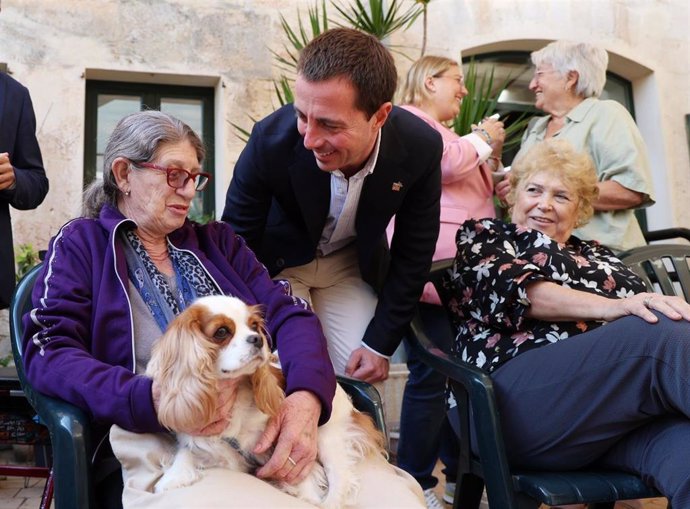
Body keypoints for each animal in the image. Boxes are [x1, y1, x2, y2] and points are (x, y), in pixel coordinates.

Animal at [144, 294, 388, 508]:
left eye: (254, 326)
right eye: (221, 332)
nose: (257, 338)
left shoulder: (284, 439)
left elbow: (300, 468)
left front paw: (309, 498)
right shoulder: (208, 443)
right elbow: (186, 451)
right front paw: (173, 477)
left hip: (327, 435)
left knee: (341, 478)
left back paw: (328, 502)